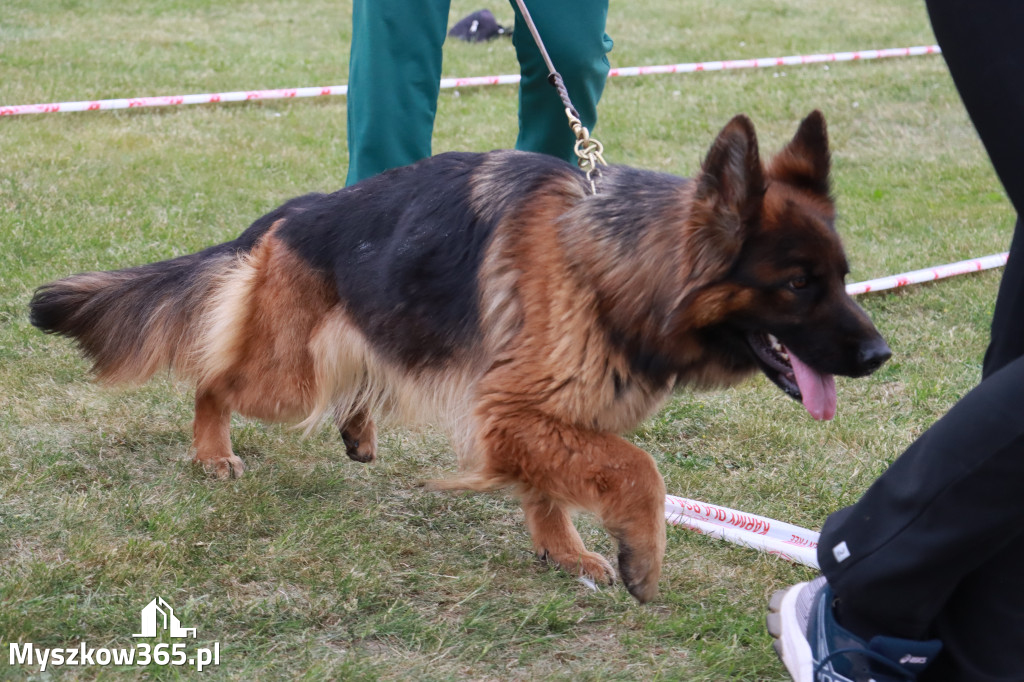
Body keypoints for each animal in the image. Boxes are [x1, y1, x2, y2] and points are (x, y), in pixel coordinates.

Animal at [29, 111, 888, 602]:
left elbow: (550, 487)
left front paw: (562, 551)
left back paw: (358, 428)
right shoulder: (515, 409)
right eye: (798, 284)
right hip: (287, 378)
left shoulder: (536, 413)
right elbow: (639, 470)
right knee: (214, 377)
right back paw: (212, 450)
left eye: (844, 275)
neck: (613, 264)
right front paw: (641, 554)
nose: (882, 354)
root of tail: (293, 213)